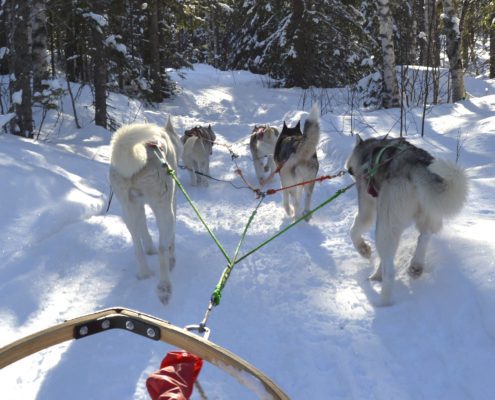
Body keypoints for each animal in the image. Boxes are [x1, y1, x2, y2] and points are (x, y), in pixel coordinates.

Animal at [109, 117, 183, 304]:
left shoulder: (139, 206)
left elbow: (145, 232)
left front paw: (150, 249)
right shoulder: (172, 202)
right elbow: (170, 241)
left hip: (128, 210)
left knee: (137, 247)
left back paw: (145, 273)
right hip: (165, 211)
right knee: (163, 249)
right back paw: (164, 286)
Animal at [346, 135, 466, 306]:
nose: (349, 170)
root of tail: (415, 164)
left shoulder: (366, 209)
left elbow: (354, 231)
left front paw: (364, 250)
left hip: (384, 225)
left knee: (390, 271)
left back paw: (382, 301)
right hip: (428, 212)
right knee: (424, 236)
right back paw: (415, 266)